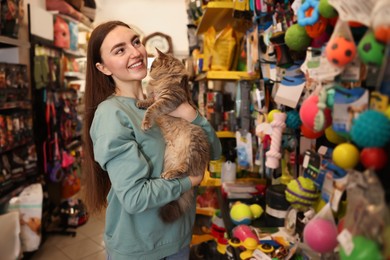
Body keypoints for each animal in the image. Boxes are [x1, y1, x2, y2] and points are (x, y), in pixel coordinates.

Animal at [136, 49, 210, 223]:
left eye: (153, 65)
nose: (148, 71)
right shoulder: (155, 96)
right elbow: (148, 100)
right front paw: (141, 103)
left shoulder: (169, 98)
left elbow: (152, 108)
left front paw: (146, 122)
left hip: (193, 144)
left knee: (185, 170)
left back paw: (170, 174)